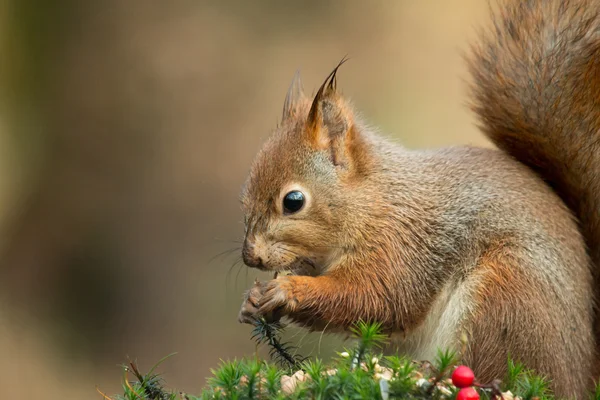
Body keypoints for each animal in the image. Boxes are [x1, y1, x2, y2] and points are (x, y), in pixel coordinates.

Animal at [237, 0, 600, 396]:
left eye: (293, 201)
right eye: (244, 196)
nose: (250, 256)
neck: (371, 201)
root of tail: (578, 374)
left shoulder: (402, 244)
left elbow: (377, 297)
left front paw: (286, 290)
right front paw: (253, 301)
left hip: (507, 295)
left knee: (491, 367)